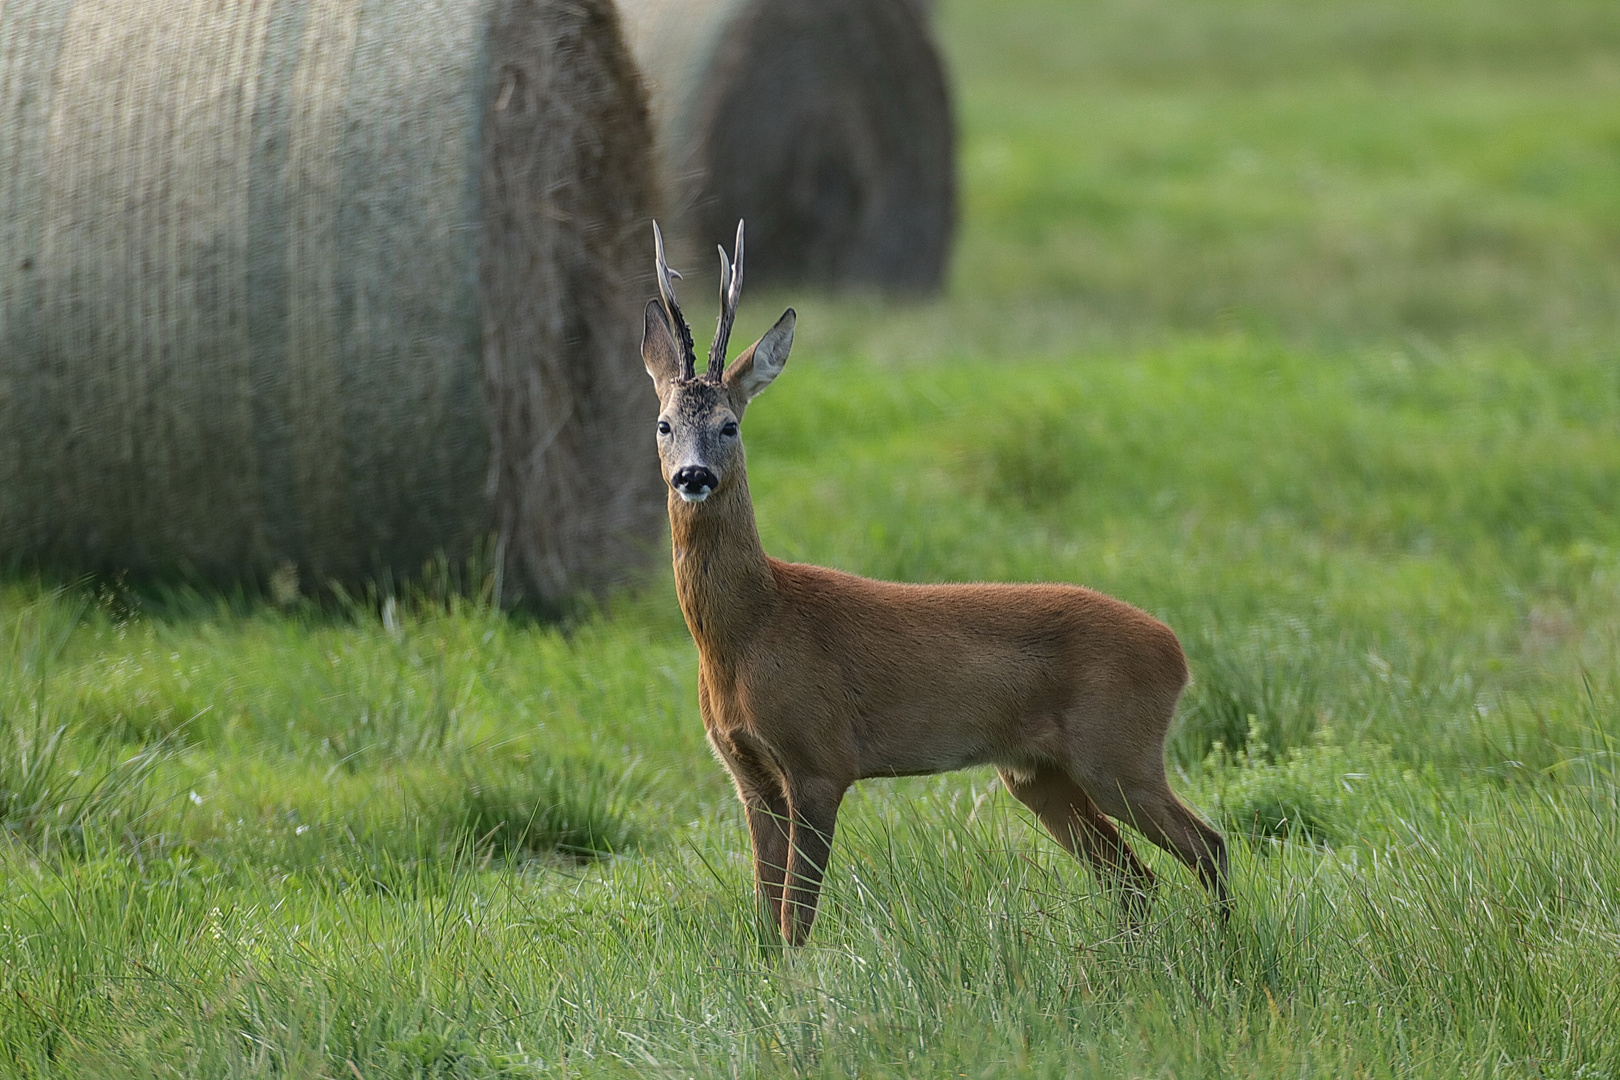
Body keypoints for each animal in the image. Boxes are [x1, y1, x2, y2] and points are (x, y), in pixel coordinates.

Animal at [644, 221, 1224, 945]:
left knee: (1207, 845)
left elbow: (795, 919)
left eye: (729, 425)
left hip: (1118, 749)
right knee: (1135, 880)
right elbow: (766, 917)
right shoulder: (748, 773)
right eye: (664, 424)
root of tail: (1177, 653)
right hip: (1040, 774)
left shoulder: (820, 758)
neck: (751, 630)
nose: (692, 476)